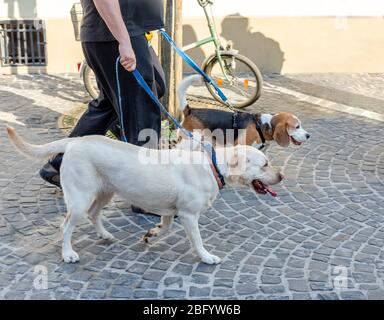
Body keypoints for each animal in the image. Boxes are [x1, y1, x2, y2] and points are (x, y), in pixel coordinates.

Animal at [5, 127, 282, 264]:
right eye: (265, 164)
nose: (281, 176)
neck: (213, 165)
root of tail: (74, 141)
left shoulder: (172, 212)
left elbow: (165, 227)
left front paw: (151, 234)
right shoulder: (189, 215)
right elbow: (197, 241)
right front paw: (206, 257)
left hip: (106, 191)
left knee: (94, 214)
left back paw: (104, 235)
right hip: (80, 198)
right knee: (66, 226)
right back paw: (67, 254)